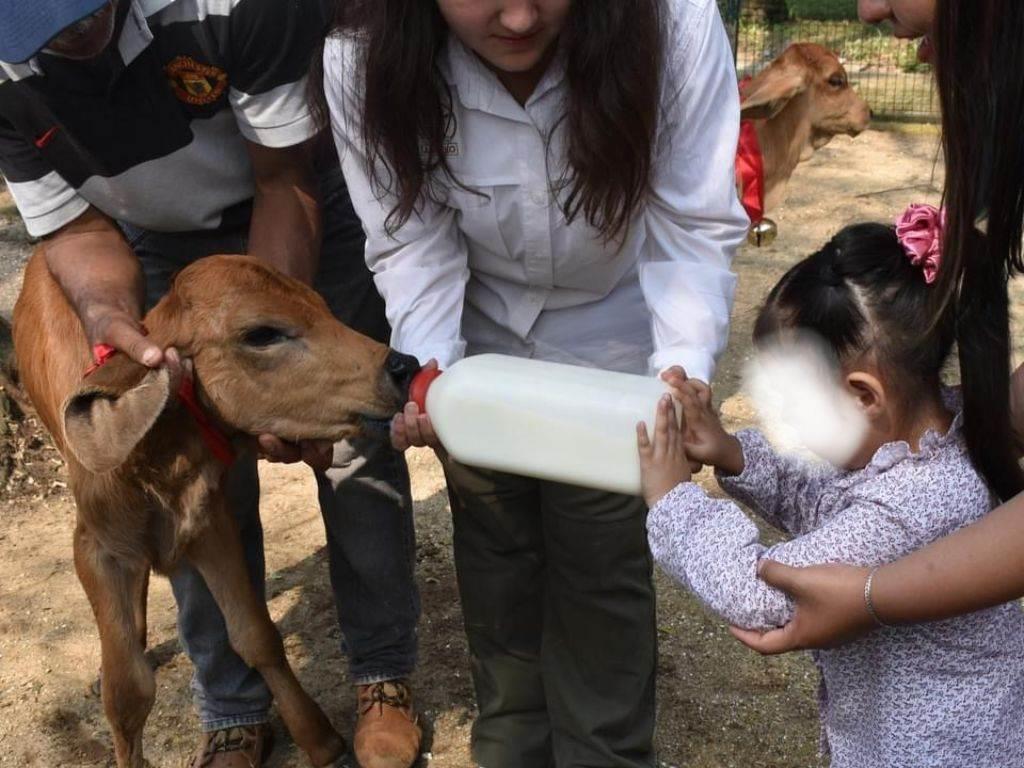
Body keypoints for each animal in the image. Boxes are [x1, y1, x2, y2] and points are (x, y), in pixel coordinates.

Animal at [8, 249, 415, 765]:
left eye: (322, 305)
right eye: (261, 333)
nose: (402, 365)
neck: (153, 463)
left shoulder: (207, 523)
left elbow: (255, 635)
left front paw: (319, 738)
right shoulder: (96, 546)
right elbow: (126, 691)